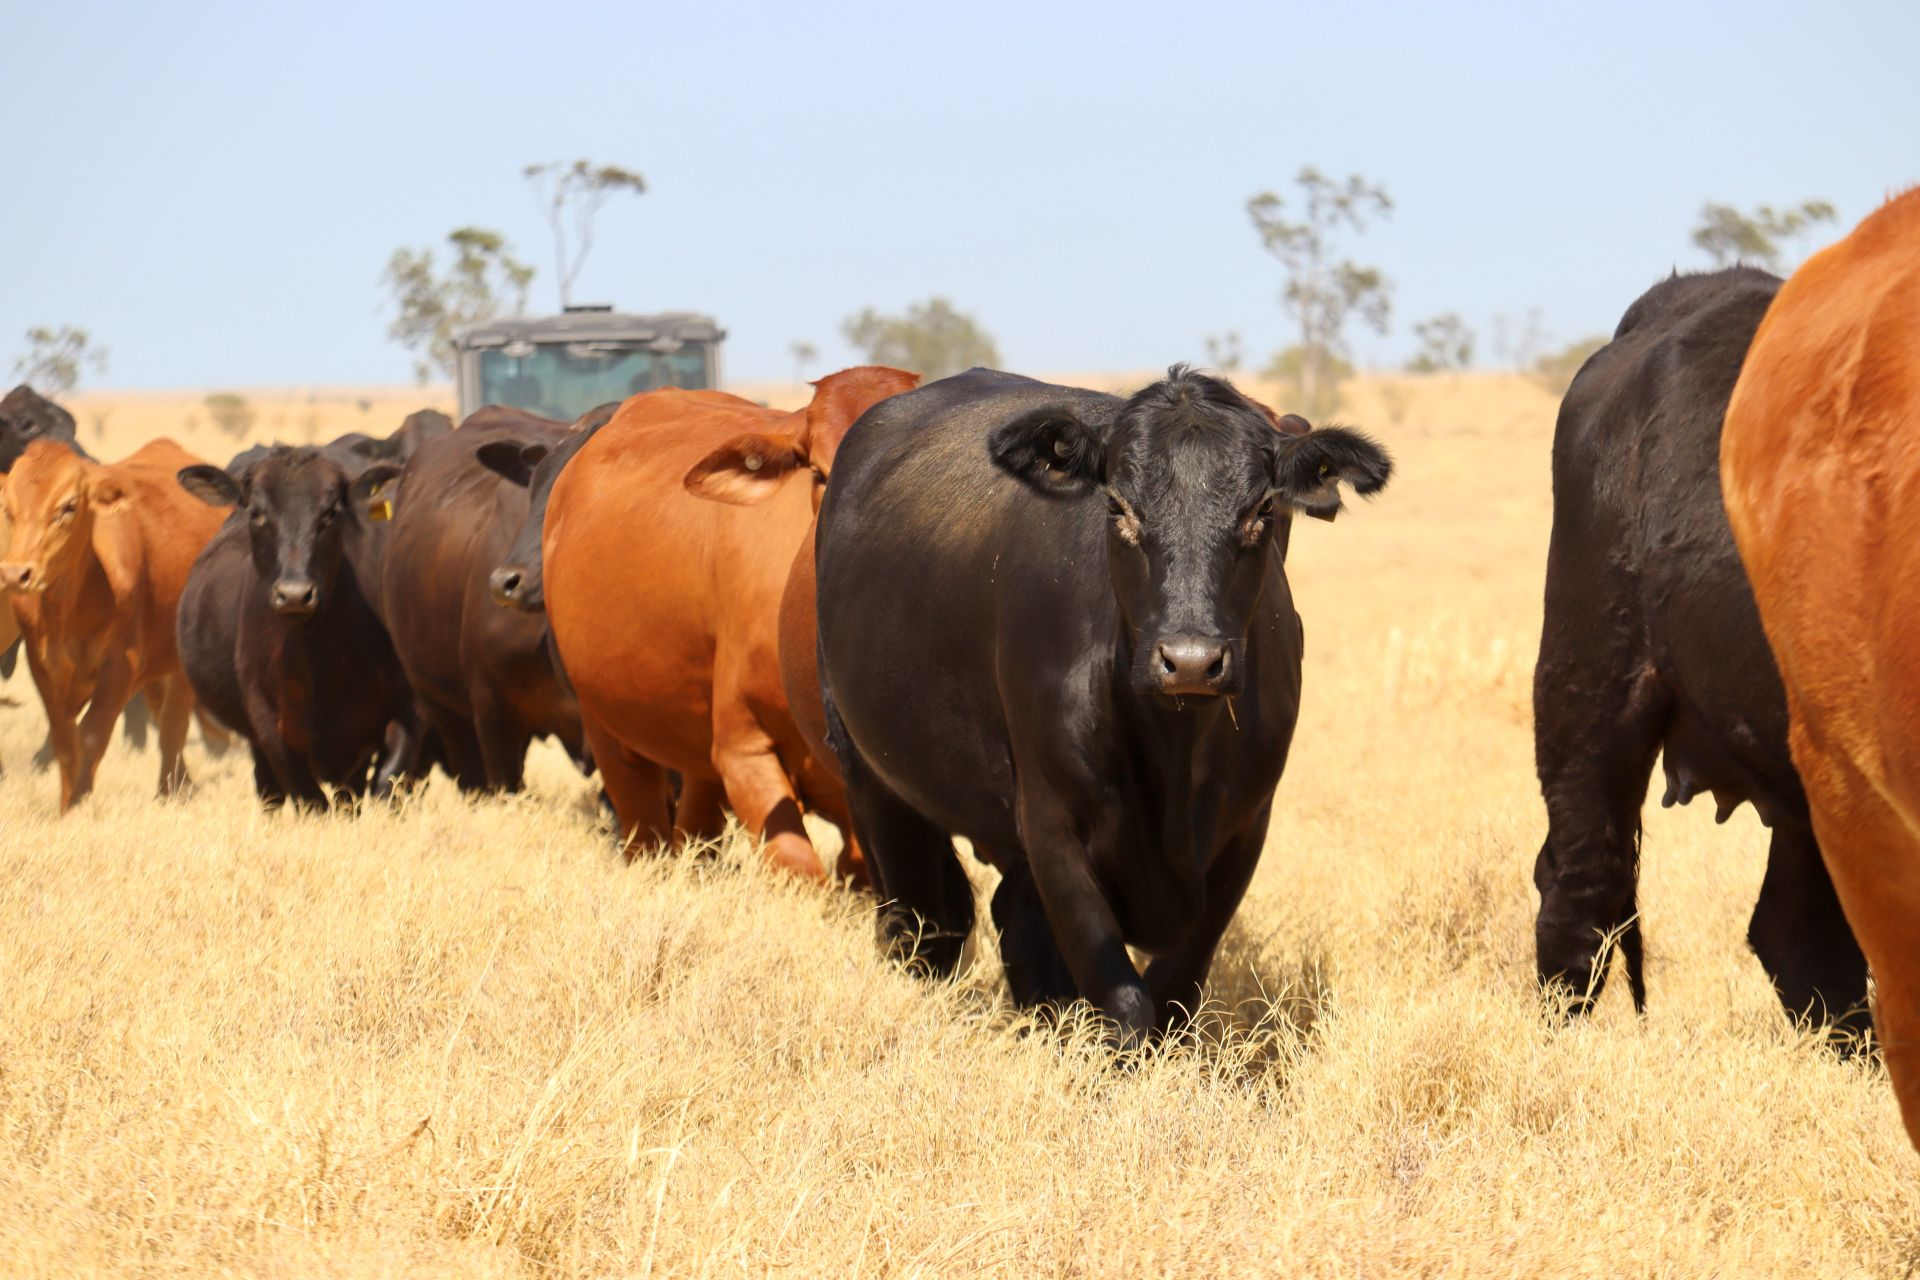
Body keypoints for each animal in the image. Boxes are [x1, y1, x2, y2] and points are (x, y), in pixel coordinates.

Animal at [1, 438, 226, 810]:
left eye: (68, 507)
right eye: (8, 507)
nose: (16, 574)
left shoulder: (121, 665)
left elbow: (92, 735)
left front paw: (78, 805)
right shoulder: (42, 666)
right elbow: (65, 741)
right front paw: (66, 805)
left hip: (180, 660)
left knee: (173, 724)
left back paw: (169, 790)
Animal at [174, 446, 413, 805]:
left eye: (331, 512)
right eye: (257, 512)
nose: (295, 595)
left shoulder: (407, 710)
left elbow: (388, 782)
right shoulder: (270, 729)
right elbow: (310, 800)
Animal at [812, 365, 1391, 1044]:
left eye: (1263, 509)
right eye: (1117, 506)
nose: (1189, 660)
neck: (1175, 755)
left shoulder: (1247, 825)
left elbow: (1174, 992)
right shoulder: (1053, 824)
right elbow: (1125, 1002)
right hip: (869, 776)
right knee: (923, 924)